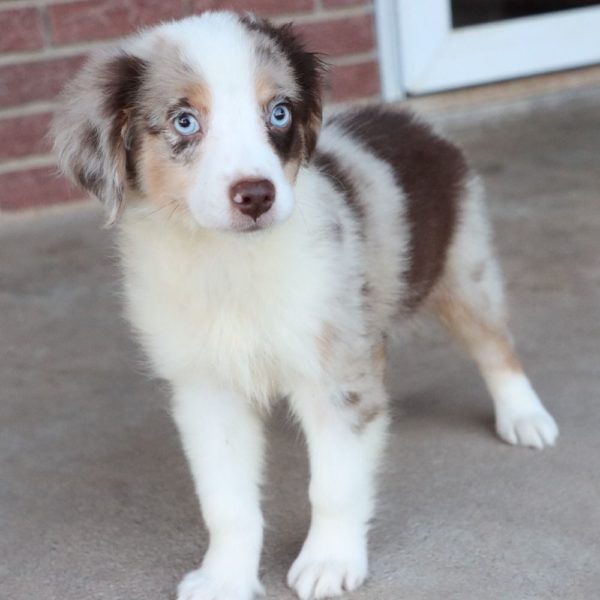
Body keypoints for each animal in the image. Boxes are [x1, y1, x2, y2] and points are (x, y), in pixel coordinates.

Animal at [51, 11, 556, 600]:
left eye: (279, 112)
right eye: (184, 122)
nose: (256, 195)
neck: (229, 263)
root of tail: (410, 120)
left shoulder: (335, 377)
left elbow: (334, 483)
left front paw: (329, 561)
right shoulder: (207, 390)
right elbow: (226, 502)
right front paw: (226, 577)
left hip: (463, 265)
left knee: (495, 344)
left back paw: (525, 417)